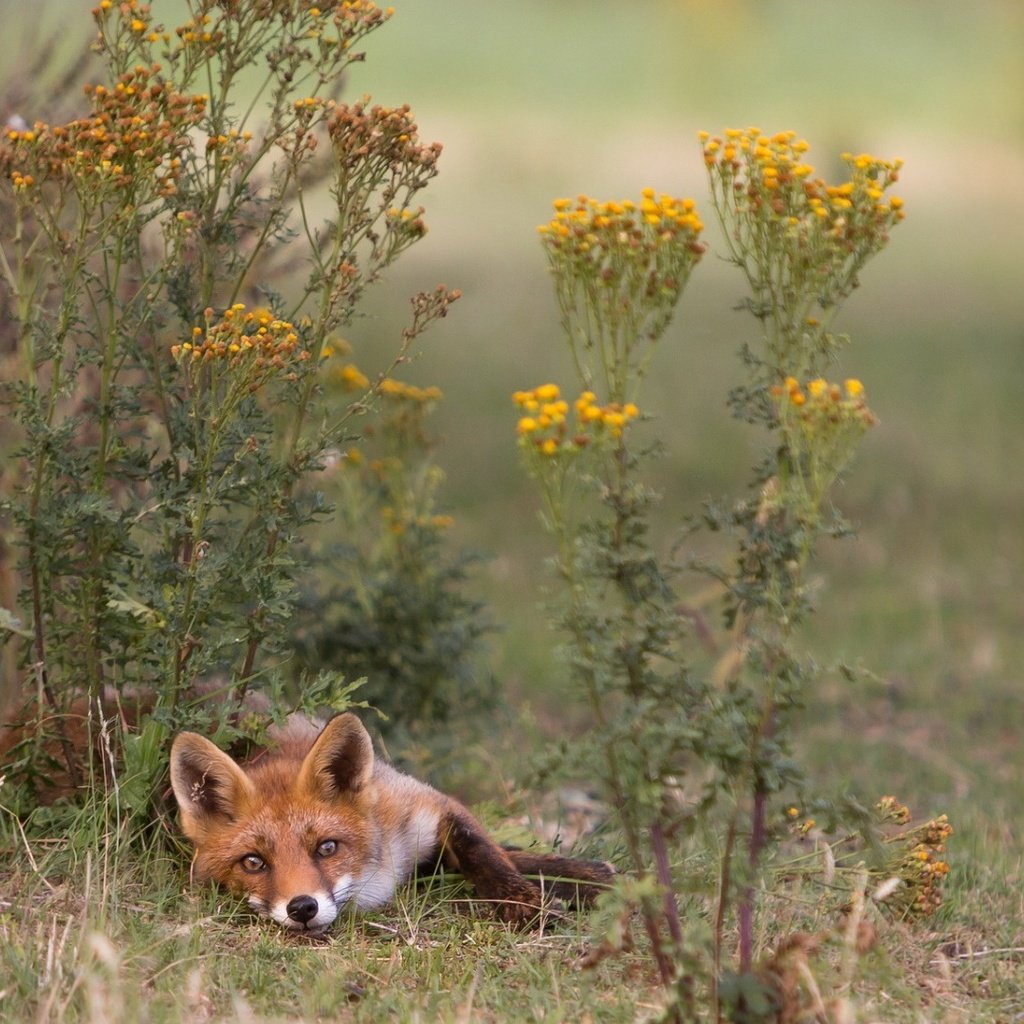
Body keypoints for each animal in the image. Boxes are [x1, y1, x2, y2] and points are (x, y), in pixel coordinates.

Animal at [169, 712, 614, 937]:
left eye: (327, 847)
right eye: (253, 862)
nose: (303, 908)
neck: (378, 874)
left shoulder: (430, 805)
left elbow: (487, 855)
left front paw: (537, 900)